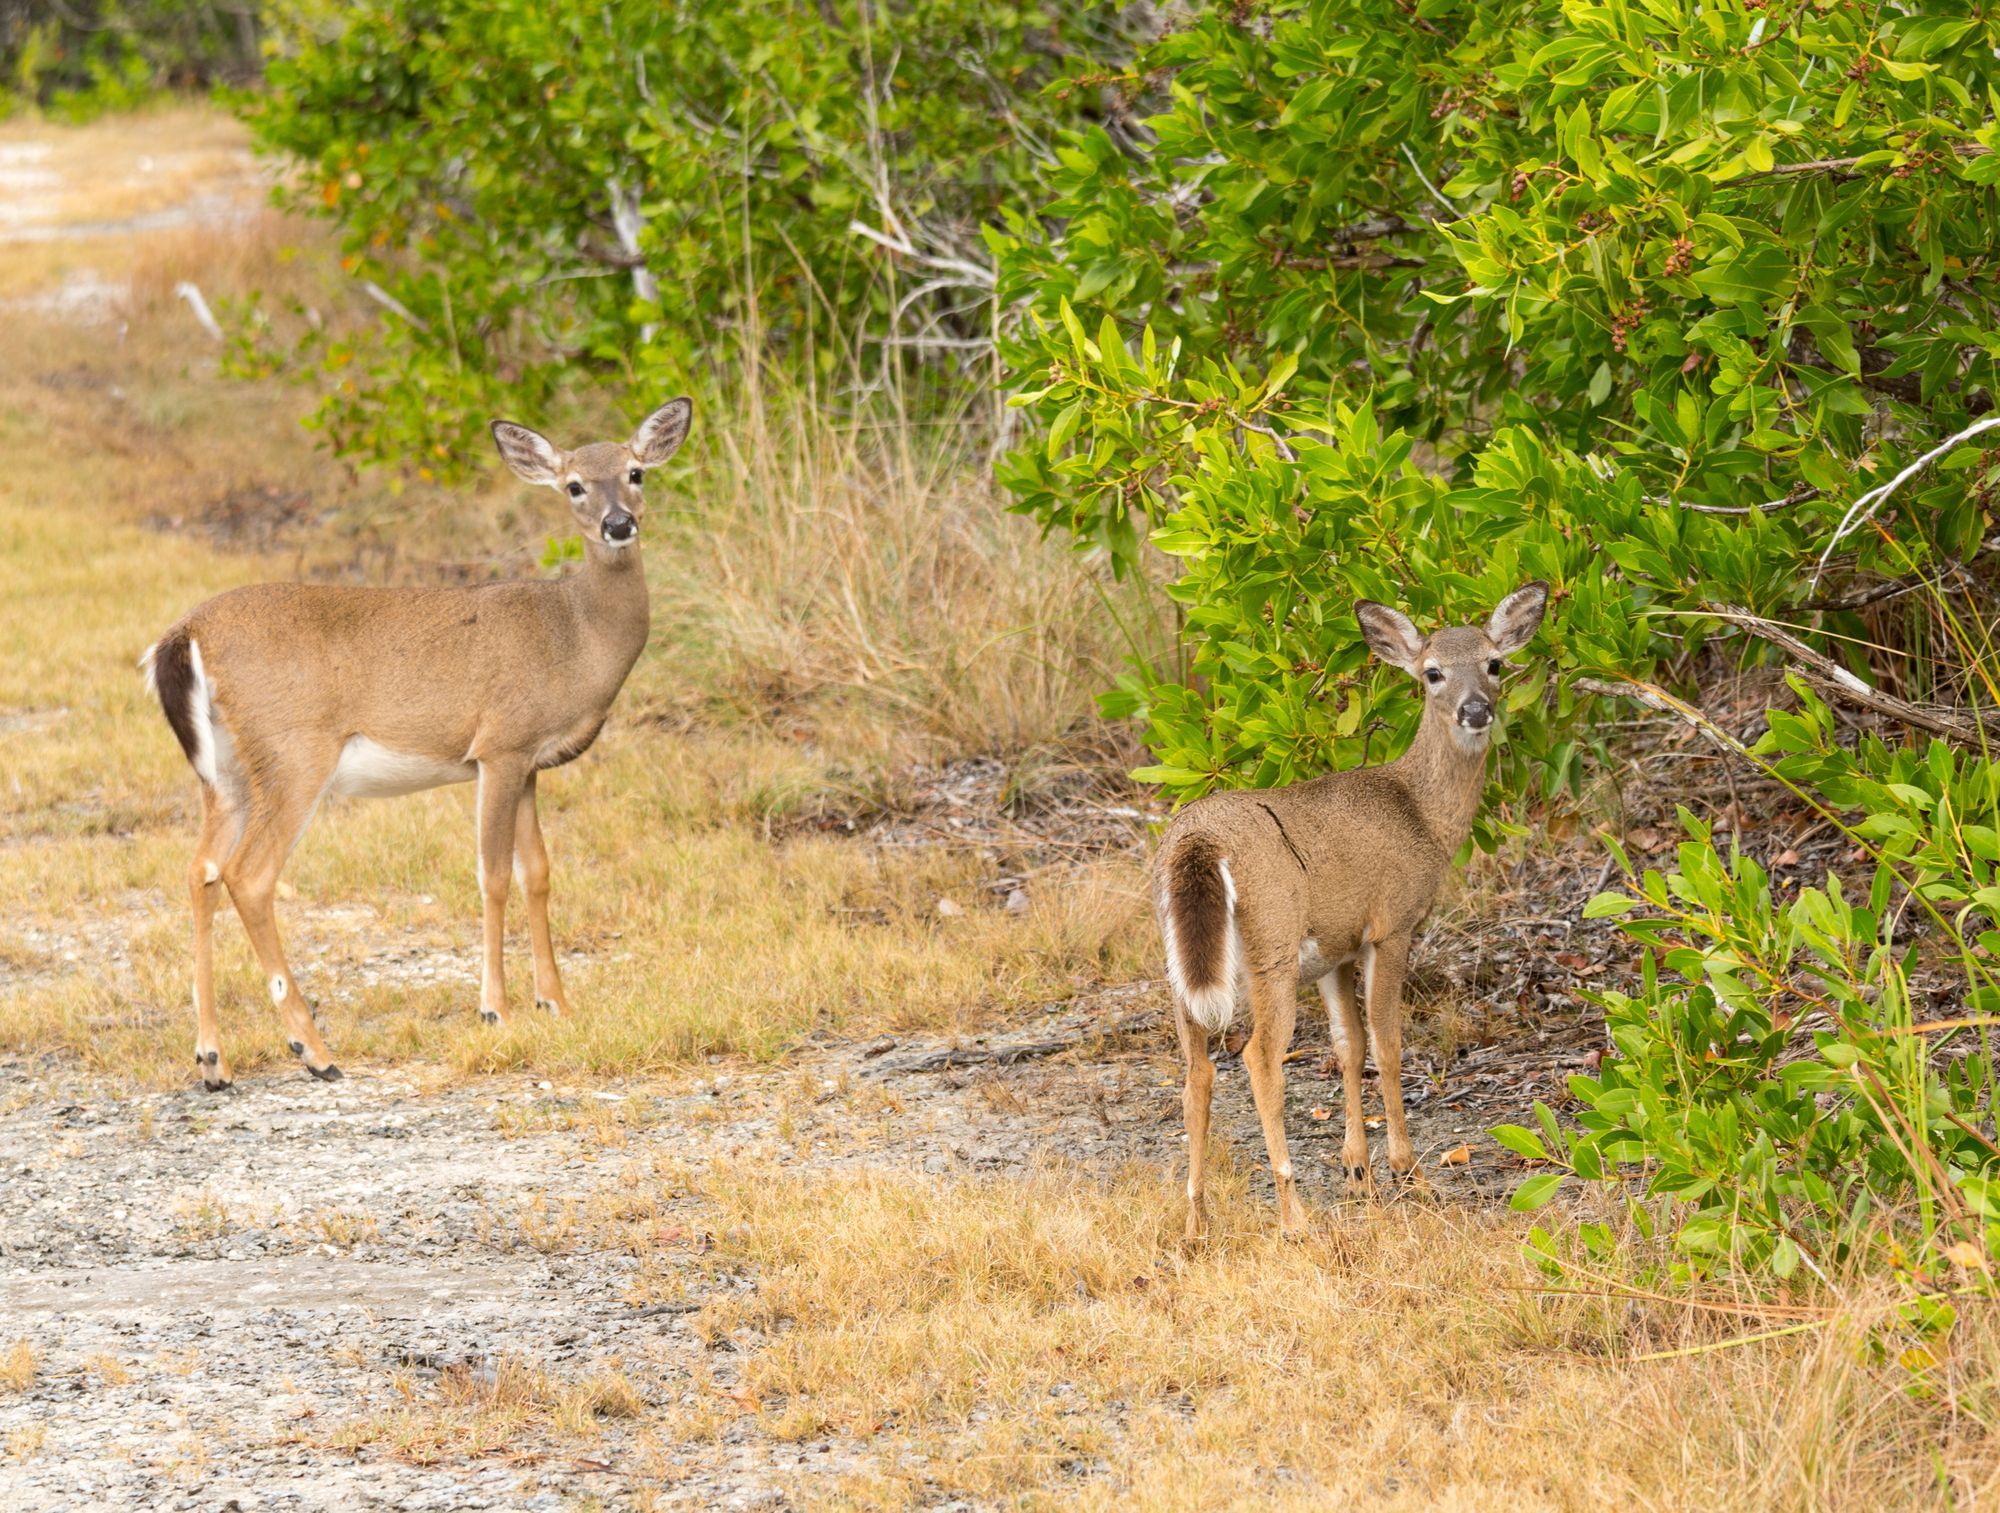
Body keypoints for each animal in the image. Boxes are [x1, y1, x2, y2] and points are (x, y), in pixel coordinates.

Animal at [137, 398, 692, 1088]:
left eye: (636, 472)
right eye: (574, 486)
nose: (618, 524)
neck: (575, 635)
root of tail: (184, 634)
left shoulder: (530, 763)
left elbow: (537, 873)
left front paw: (557, 1002)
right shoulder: (500, 745)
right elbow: (493, 876)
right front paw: (496, 1010)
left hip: (228, 771)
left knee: (201, 871)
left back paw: (214, 1058)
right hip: (295, 752)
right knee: (249, 876)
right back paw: (314, 1050)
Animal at [1160, 584, 1544, 1232]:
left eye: (1495, 664)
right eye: (1432, 672)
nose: (1475, 711)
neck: (1422, 815)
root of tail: (1198, 844)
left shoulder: (1335, 950)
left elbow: (1348, 1045)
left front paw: (1357, 1173)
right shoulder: (1391, 924)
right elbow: (1387, 1043)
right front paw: (1408, 1173)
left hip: (1181, 967)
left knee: (1196, 1072)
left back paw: (1195, 1222)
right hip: (1272, 945)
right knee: (1259, 1057)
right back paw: (1293, 1216)